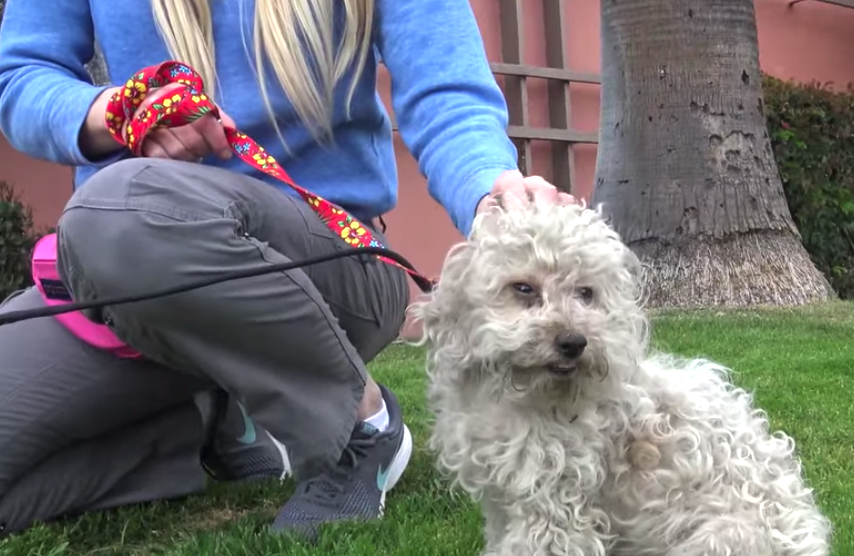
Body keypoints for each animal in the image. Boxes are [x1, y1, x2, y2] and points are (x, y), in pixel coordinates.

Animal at [412, 201, 832, 556]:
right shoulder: (503, 504)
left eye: (586, 293)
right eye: (523, 288)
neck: (521, 395)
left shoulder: (554, 513)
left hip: (719, 536)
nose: (573, 342)